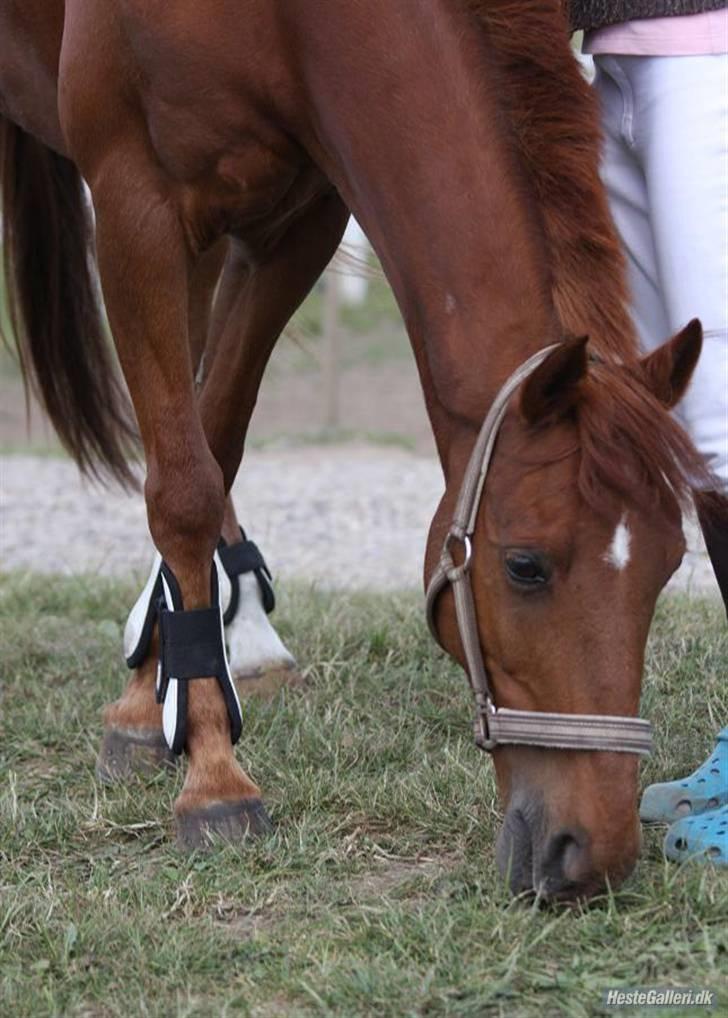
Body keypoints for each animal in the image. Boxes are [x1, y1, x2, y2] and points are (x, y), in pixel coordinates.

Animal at [1, 0, 712, 899]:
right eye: (525, 566)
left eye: (668, 565)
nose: (592, 855)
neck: (278, 21)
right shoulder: (136, 202)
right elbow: (184, 486)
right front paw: (214, 779)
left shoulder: (296, 221)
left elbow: (212, 438)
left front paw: (163, 698)